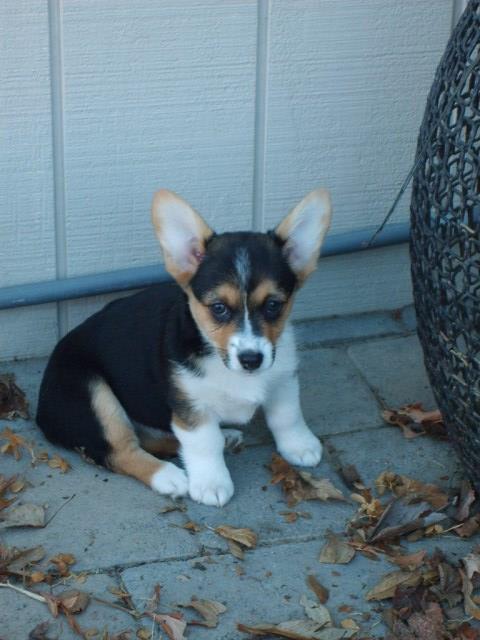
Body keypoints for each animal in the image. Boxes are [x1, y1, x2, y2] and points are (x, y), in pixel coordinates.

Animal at [36, 188, 330, 508]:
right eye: (218, 308)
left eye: (274, 305)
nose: (251, 359)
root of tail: (40, 412)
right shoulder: (189, 404)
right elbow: (203, 442)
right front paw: (211, 483)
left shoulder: (283, 378)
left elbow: (287, 415)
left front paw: (299, 445)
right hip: (93, 393)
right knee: (120, 450)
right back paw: (169, 476)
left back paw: (224, 436)